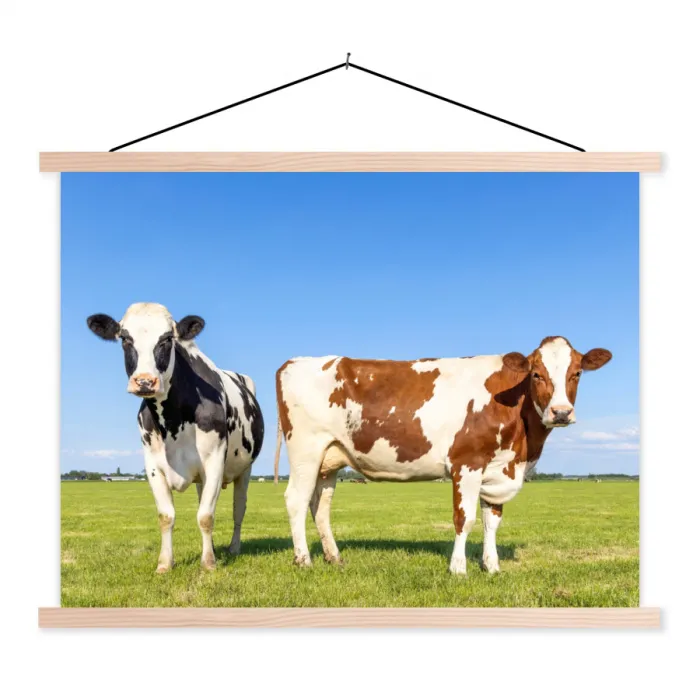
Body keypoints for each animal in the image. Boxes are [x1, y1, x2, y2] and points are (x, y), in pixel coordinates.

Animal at [87, 303, 264, 572]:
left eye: (167, 339)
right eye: (125, 339)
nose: (145, 381)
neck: (172, 421)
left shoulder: (214, 461)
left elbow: (206, 516)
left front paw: (208, 564)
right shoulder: (153, 466)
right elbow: (167, 516)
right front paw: (165, 563)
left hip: (244, 470)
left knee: (238, 510)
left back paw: (233, 547)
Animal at [274, 336, 611, 575]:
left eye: (577, 373)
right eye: (537, 374)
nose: (561, 412)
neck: (523, 447)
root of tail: (294, 361)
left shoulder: (499, 467)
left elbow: (492, 520)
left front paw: (492, 566)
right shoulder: (467, 462)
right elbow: (465, 518)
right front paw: (458, 568)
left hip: (329, 459)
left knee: (320, 505)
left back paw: (334, 557)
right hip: (305, 450)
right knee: (296, 500)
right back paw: (303, 560)